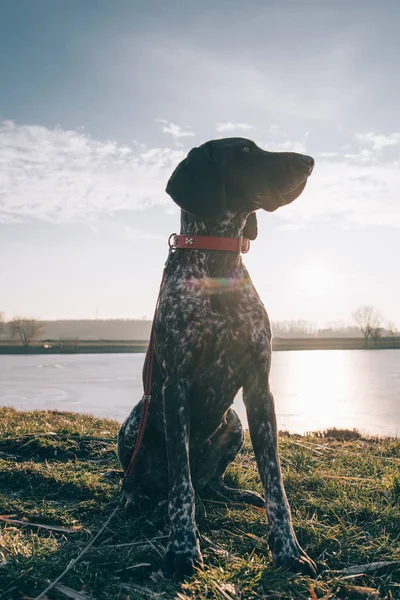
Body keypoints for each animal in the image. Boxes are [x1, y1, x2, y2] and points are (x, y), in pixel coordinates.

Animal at [117, 136, 318, 576]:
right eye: (243, 151)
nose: (309, 160)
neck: (219, 261)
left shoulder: (260, 389)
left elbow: (275, 483)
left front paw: (288, 550)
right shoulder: (175, 387)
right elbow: (181, 486)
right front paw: (182, 549)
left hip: (234, 423)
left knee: (210, 483)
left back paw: (234, 494)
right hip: (136, 420)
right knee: (150, 479)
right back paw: (134, 497)